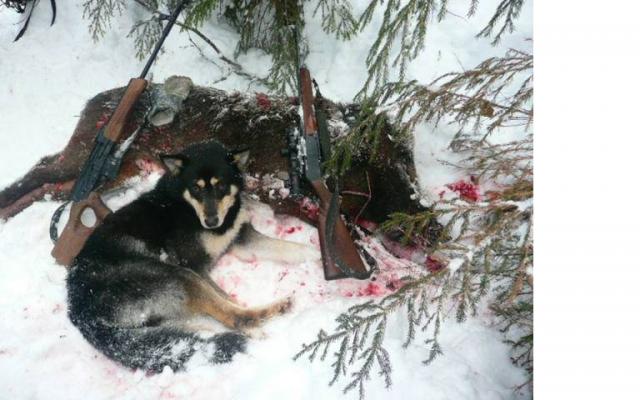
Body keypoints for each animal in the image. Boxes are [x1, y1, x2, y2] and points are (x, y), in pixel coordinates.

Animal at [66, 140, 320, 372]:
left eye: (221, 186)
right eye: (196, 188)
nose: (211, 221)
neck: (186, 205)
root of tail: (81, 312)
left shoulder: (242, 239)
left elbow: (289, 248)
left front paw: (319, 256)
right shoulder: (194, 265)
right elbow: (225, 298)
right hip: (178, 276)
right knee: (233, 315)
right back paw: (271, 315)